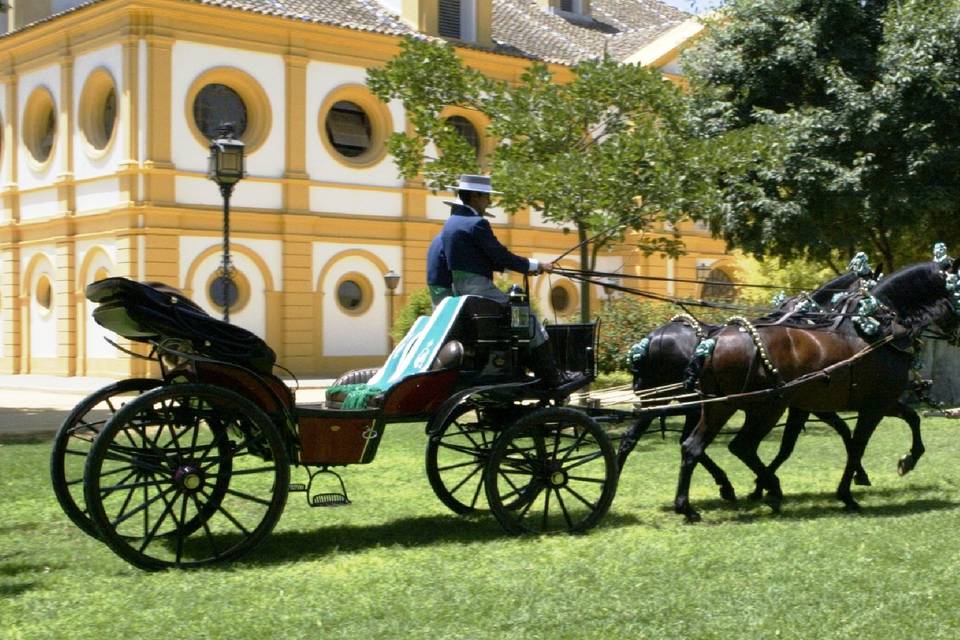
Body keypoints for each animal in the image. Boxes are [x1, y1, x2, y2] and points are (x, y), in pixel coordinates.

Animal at [676, 260, 960, 520]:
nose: (956, 337)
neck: (877, 330)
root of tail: (714, 340)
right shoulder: (873, 406)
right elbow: (857, 446)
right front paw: (847, 493)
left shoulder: (875, 403)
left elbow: (910, 419)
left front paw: (907, 460)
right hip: (763, 408)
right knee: (740, 446)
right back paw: (769, 490)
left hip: (719, 406)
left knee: (693, 446)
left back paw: (689, 505)